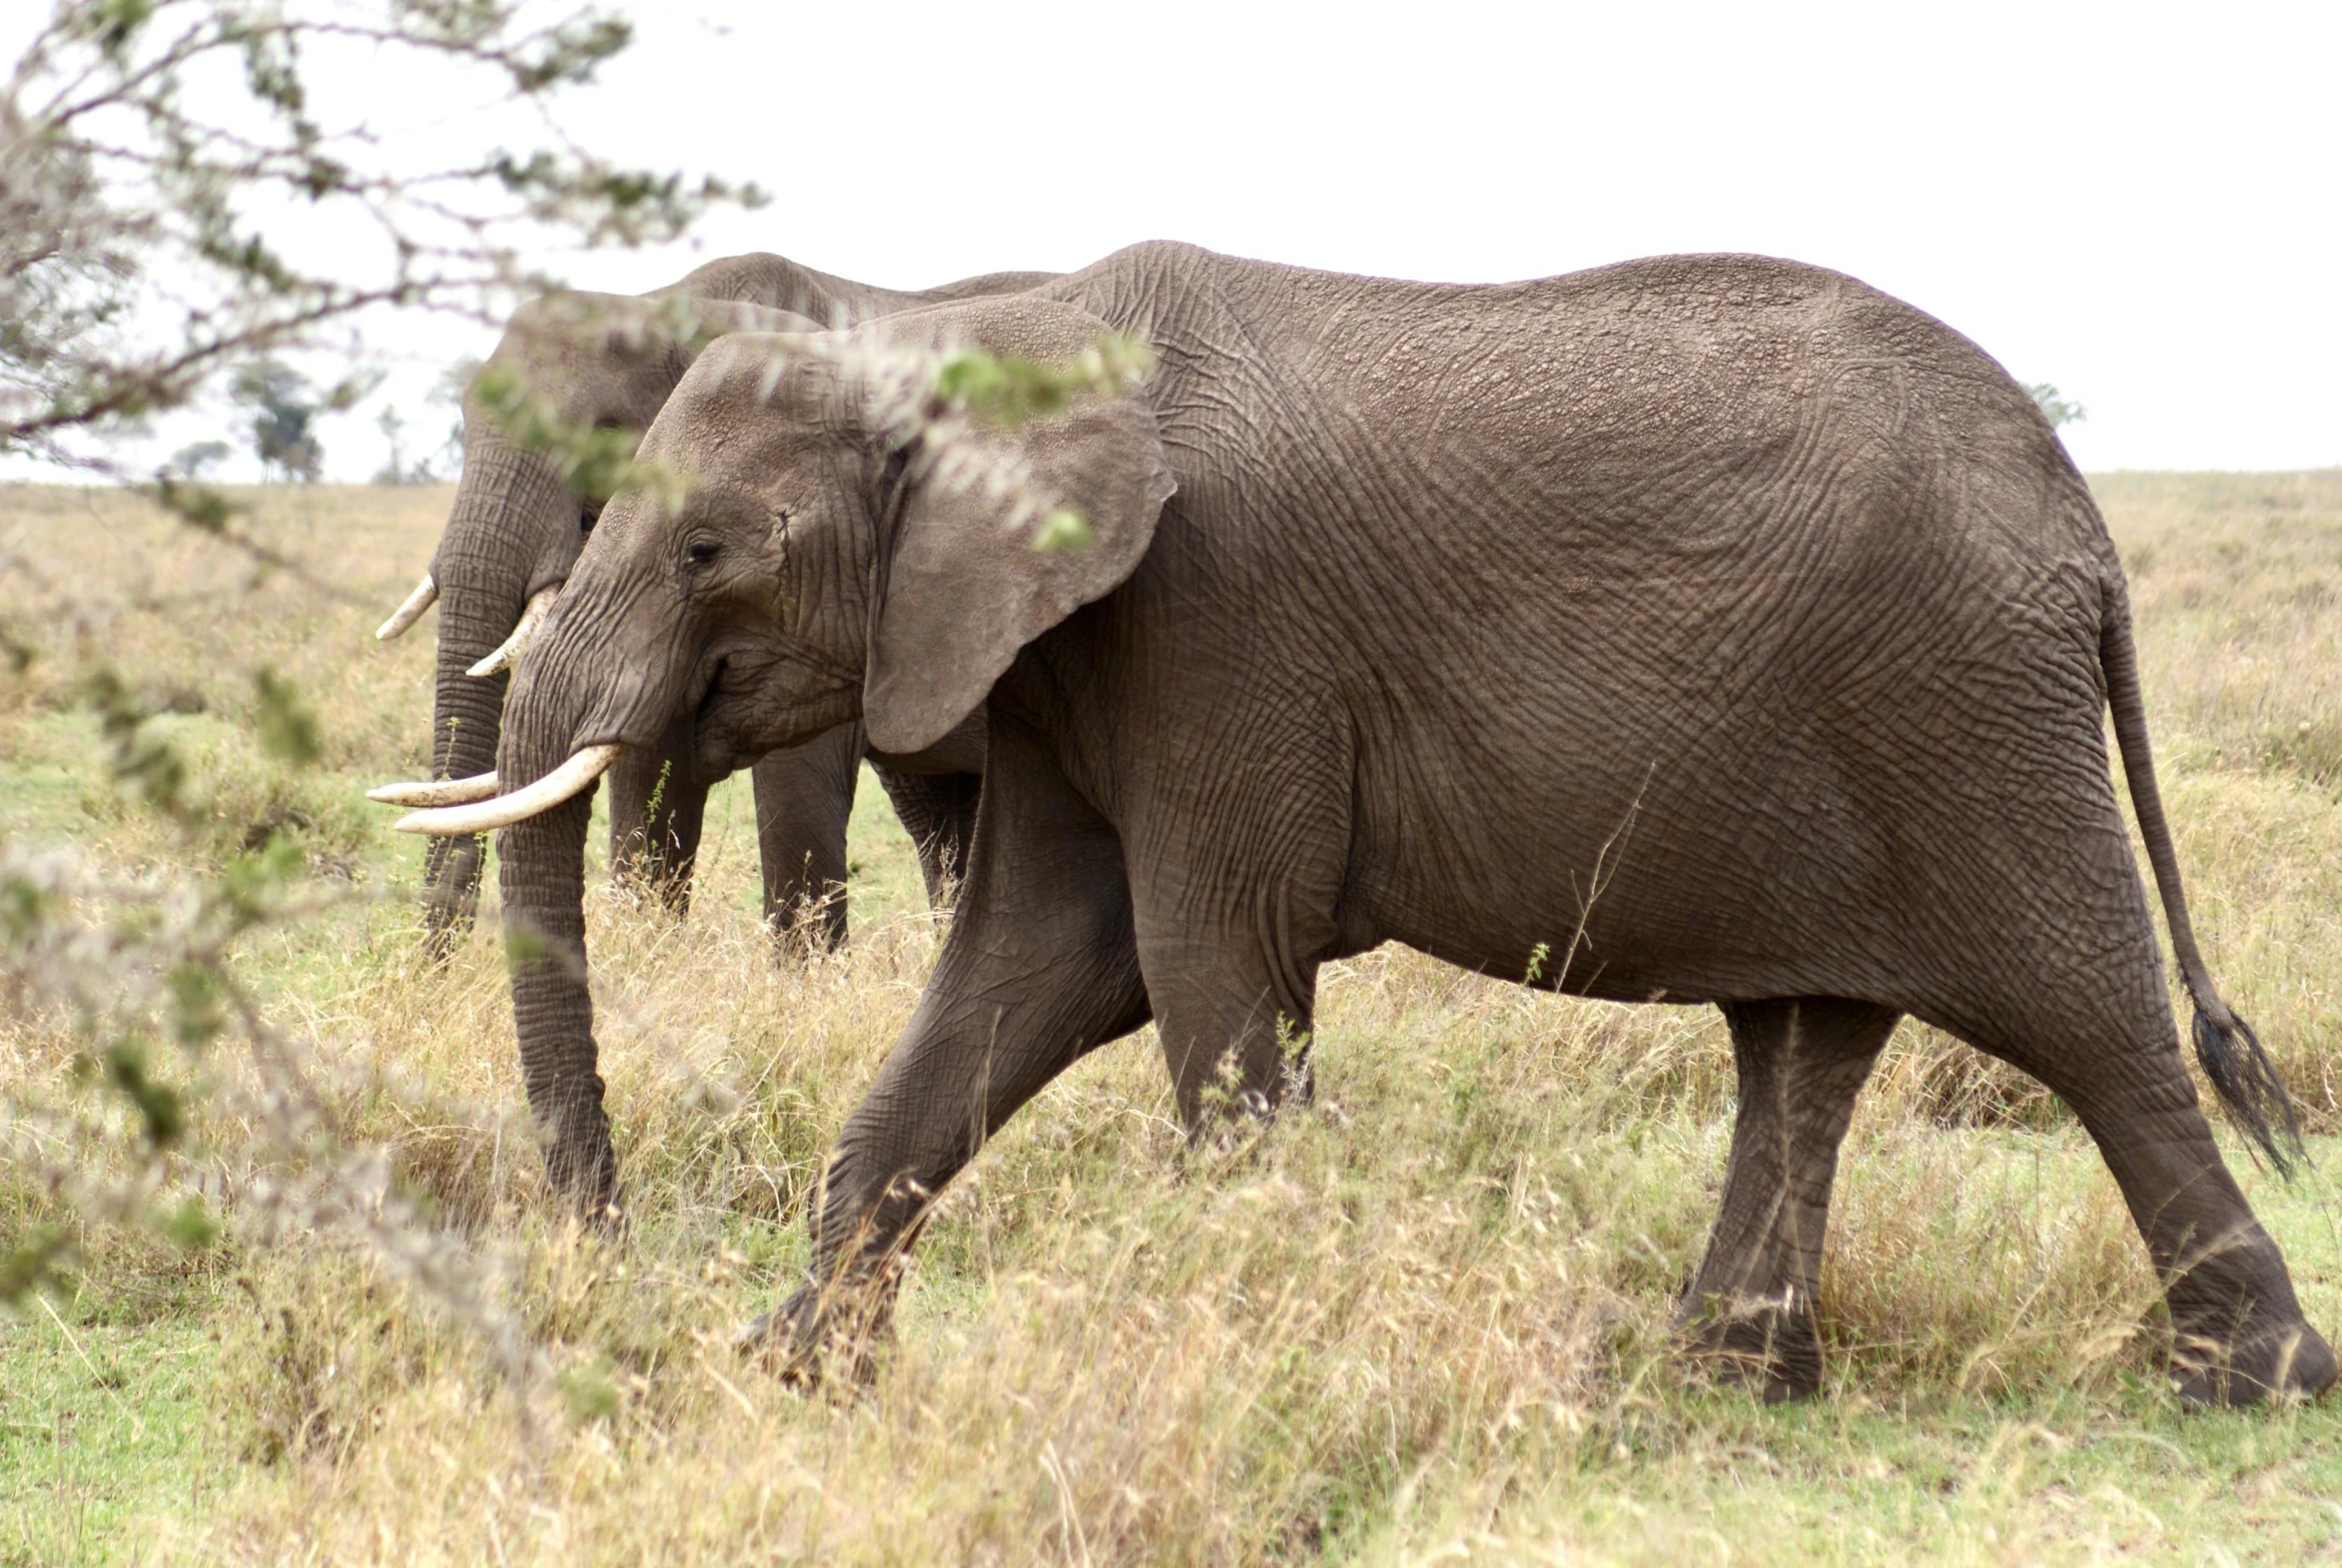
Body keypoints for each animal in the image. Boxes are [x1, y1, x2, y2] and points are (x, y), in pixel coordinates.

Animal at [372, 250, 1044, 959]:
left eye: (601, 436)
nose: (432, 968)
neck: (672, 307)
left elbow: (792, 774)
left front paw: (803, 976)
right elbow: (648, 767)